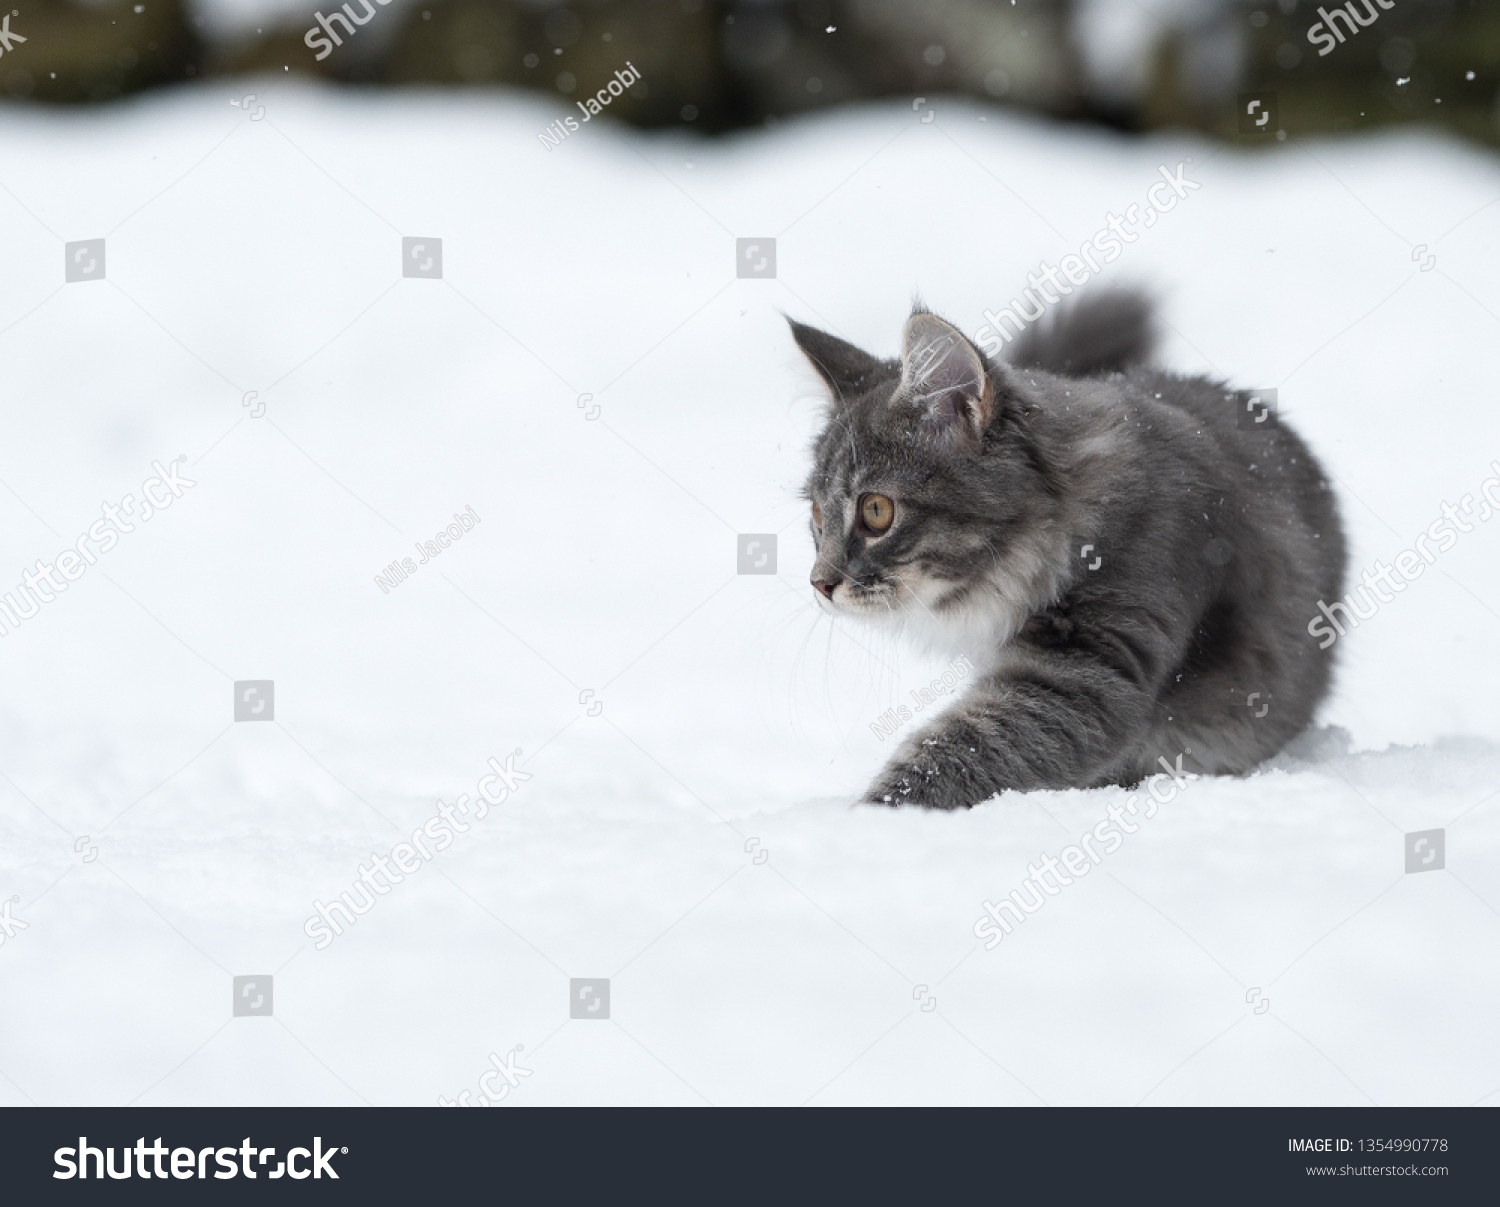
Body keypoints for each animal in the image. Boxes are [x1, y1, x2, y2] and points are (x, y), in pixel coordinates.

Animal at [798, 293, 1350, 809]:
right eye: (818, 517)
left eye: (875, 511)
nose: (819, 583)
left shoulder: (1087, 671)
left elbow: (948, 757)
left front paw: (865, 821)